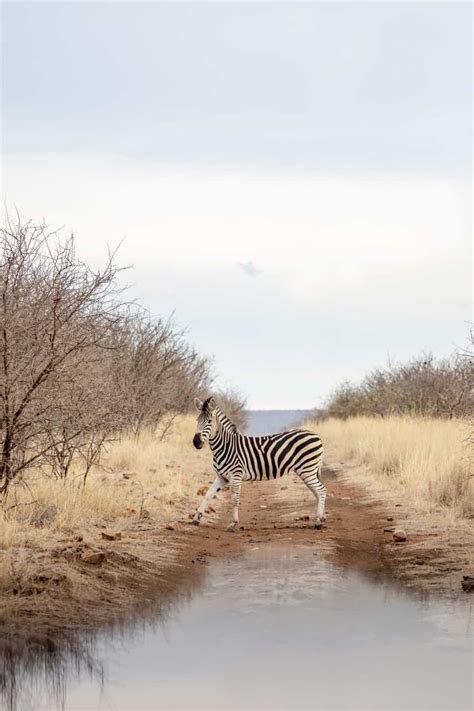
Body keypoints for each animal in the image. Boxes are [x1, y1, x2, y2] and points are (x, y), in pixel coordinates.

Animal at [190, 398, 326, 532]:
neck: (225, 447)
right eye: (197, 420)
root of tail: (316, 436)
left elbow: (235, 499)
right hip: (308, 471)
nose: (196, 442)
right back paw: (322, 519)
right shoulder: (221, 478)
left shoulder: (235, 475)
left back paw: (318, 522)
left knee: (321, 490)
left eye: (209, 421)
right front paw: (196, 518)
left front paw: (233, 524)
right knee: (317, 492)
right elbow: (207, 495)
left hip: (307, 470)